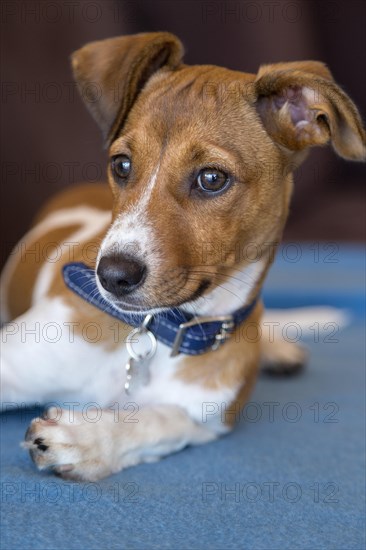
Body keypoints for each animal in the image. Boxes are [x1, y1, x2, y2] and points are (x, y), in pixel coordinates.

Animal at [1, 33, 364, 484]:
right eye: (121, 165)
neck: (156, 331)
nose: (112, 276)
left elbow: (162, 419)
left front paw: (86, 439)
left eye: (212, 178)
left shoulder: (208, 417)